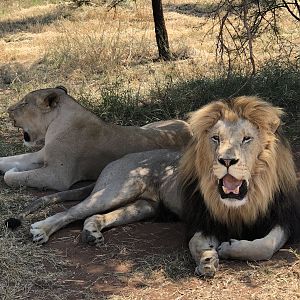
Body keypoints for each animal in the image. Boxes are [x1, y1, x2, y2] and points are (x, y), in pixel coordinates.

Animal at [0, 85, 191, 191]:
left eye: (24, 103)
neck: (55, 124)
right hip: (148, 127)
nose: (8, 110)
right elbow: (6, 160)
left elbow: (12, 177)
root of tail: (189, 127)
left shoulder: (57, 176)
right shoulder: (38, 156)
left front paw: (13, 172)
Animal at [8, 95, 298, 276]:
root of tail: (118, 160)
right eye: (215, 138)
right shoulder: (200, 220)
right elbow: (195, 243)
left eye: (247, 139)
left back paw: (91, 233)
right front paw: (207, 259)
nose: (226, 160)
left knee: (96, 216)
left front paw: (227, 249)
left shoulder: (284, 219)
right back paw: (41, 230)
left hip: (143, 206)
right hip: (117, 190)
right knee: (71, 211)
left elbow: (265, 246)